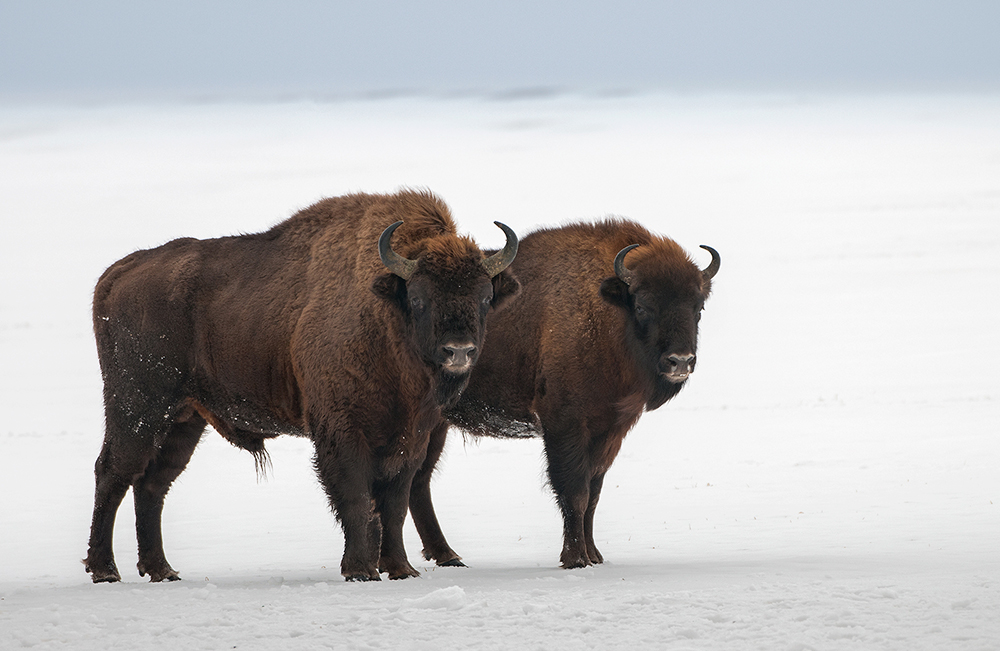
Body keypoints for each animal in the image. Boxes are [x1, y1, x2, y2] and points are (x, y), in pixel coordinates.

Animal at [83, 191, 520, 584]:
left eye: (484, 296)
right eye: (418, 297)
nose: (459, 351)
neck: (383, 316)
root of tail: (117, 273)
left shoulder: (412, 437)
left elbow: (393, 504)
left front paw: (400, 569)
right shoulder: (342, 431)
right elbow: (356, 498)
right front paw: (360, 570)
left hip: (184, 418)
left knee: (152, 484)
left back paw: (161, 570)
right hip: (138, 408)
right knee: (113, 472)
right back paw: (105, 570)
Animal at [408, 219, 720, 572]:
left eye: (698, 307)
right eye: (642, 306)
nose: (680, 360)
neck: (606, 313)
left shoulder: (609, 429)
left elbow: (594, 492)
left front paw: (595, 555)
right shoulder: (564, 424)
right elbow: (575, 491)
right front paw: (575, 559)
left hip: (436, 424)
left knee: (419, 481)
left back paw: (447, 555)